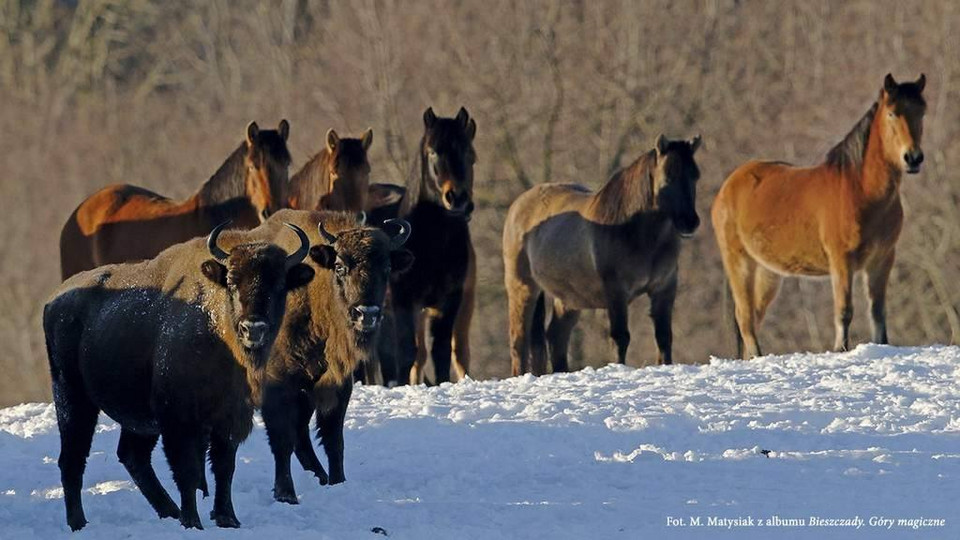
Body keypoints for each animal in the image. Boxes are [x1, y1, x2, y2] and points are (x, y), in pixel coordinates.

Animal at [43, 221, 314, 528]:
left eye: (279, 284)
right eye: (232, 282)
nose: (252, 328)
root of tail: (54, 302)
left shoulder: (230, 417)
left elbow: (224, 467)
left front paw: (227, 518)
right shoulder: (178, 420)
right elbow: (188, 472)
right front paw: (193, 522)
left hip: (137, 419)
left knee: (132, 456)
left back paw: (169, 512)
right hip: (73, 399)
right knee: (73, 459)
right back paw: (79, 523)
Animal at [388, 106, 478, 384]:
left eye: (469, 153)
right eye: (432, 151)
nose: (457, 198)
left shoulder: (449, 301)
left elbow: (440, 351)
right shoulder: (403, 301)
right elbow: (407, 352)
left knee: (458, 353)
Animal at [502, 134, 704, 376]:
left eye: (695, 175)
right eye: (668, 176)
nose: (690, 222)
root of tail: (518, 205)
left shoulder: (664, 288)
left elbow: (664, 337)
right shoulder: (616, 291)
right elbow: (620, 337)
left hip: (568, 298)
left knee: (556, 337)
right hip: (523, 287)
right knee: (519, 342)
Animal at [712, 73, 924, 358]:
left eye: (921, 111)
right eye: (892, 113)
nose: (913, 158)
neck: (860, 189)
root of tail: (728, 186)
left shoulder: (882, 259)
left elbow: (877, 313)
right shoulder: (841, 260)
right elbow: (844, 310)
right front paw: (839, 349)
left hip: (768, 272)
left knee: (754, 316)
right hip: (740, 262)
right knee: (745, 318)